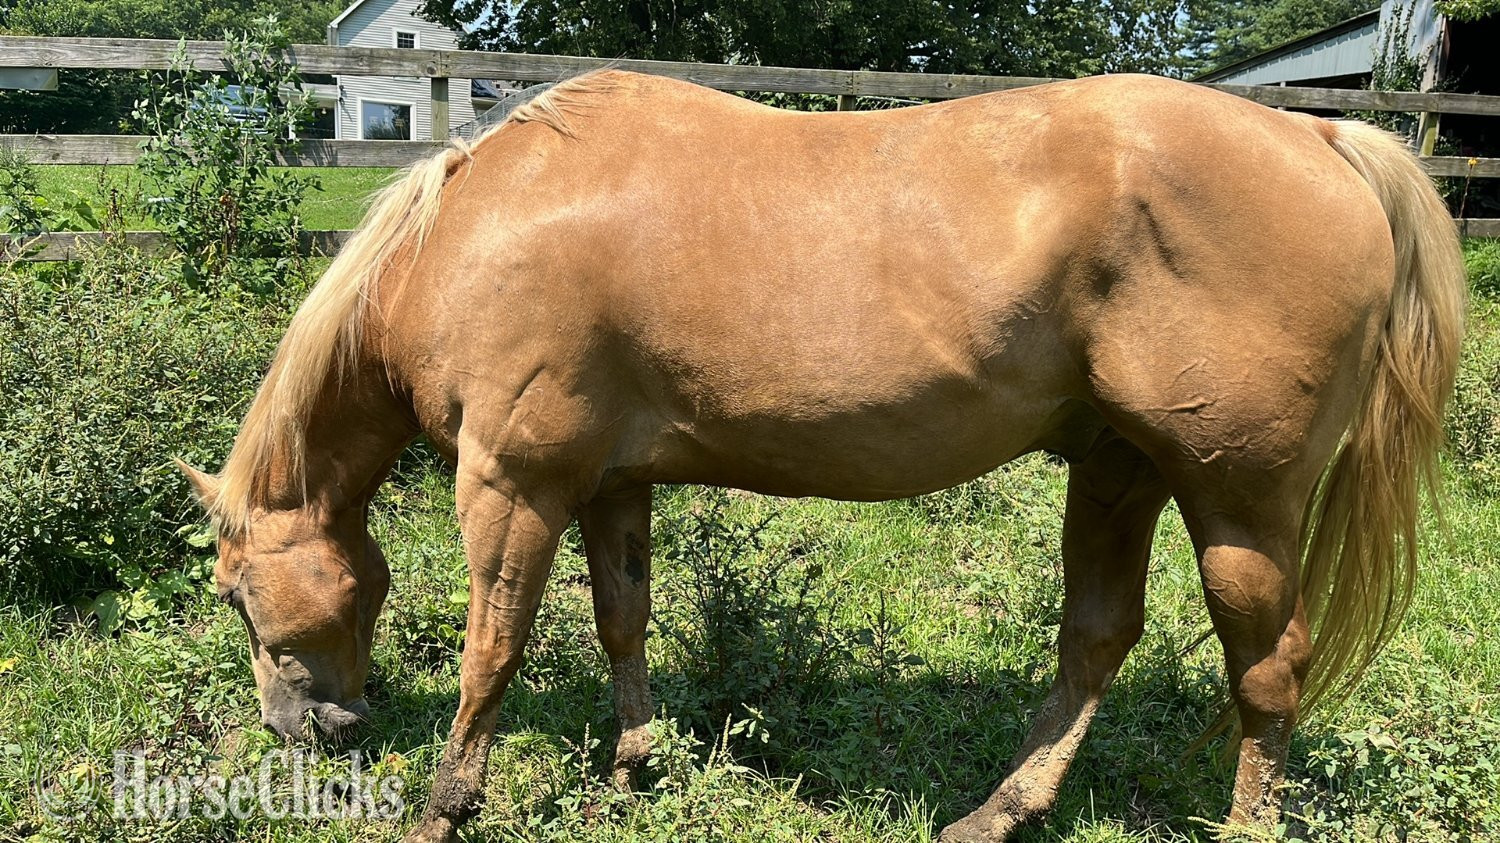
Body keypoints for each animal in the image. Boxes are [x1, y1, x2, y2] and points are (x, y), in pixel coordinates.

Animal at [176, 69, 1465, 842]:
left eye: (237, 597)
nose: (301, 733)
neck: (471, 229)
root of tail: (1325, 137)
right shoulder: (613, 484)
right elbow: (623, 622)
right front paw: (633, 765)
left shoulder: (513, 483)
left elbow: (491, 652)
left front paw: (447, 802)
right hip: (1118, 469)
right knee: (1097, 642)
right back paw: (997, 810)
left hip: (1238, 502)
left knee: (1269, 674)